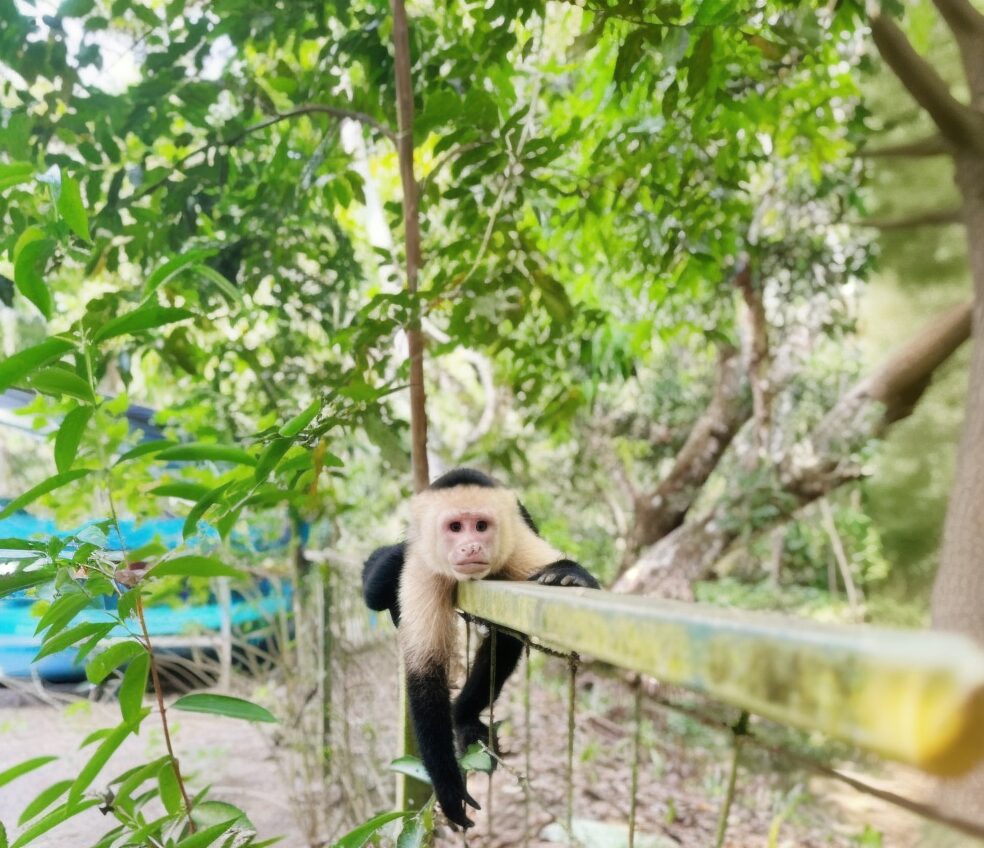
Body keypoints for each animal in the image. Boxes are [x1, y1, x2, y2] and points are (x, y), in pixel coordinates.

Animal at [360, 468, 596, 824]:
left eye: (481, 526)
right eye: (455, 527)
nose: (471, 547)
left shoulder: (516, 545)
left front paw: (570, 574)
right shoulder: (423, 569)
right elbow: (424, 672)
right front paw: (448, 785)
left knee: (507, 638)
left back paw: (463, 715)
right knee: (377, 585)